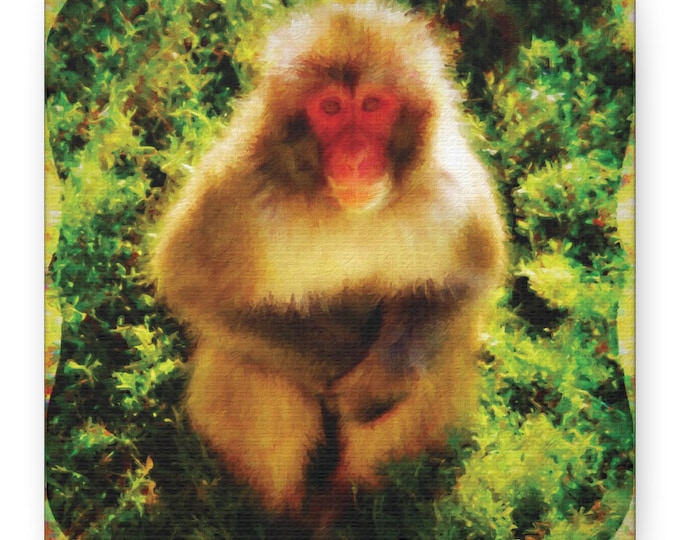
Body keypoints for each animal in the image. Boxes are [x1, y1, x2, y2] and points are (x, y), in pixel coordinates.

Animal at [150, 0, 506, 519]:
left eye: (373, 106)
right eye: (331, 109)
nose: (355, 157)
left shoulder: (452, 186)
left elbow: (463, 283)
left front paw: (380, 382)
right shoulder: (238, 188)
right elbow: (196, 290)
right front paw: (342, 368)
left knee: (435, 358)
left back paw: (348, 498)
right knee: (253, 362)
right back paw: (282, 509)